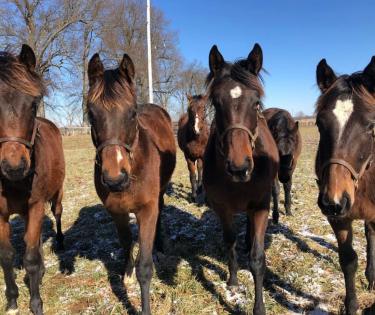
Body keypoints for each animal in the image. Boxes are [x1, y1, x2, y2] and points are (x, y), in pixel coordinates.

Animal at [87, 53, 177, 314]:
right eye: (91, 114)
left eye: (132, 113)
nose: (115, 178)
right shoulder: (116, 212)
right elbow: (126, 243)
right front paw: (126, 273)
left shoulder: (147, 210)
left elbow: (144, 268)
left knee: (162, 210)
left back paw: (162, 243)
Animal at [203, 43, 280, 314]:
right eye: (216, 103)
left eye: (256, 103)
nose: (239, 168)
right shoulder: (222, 208)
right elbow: (229, 243)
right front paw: (233, 281)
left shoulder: (260, 206)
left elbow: (257, 259)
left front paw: (259, 307)